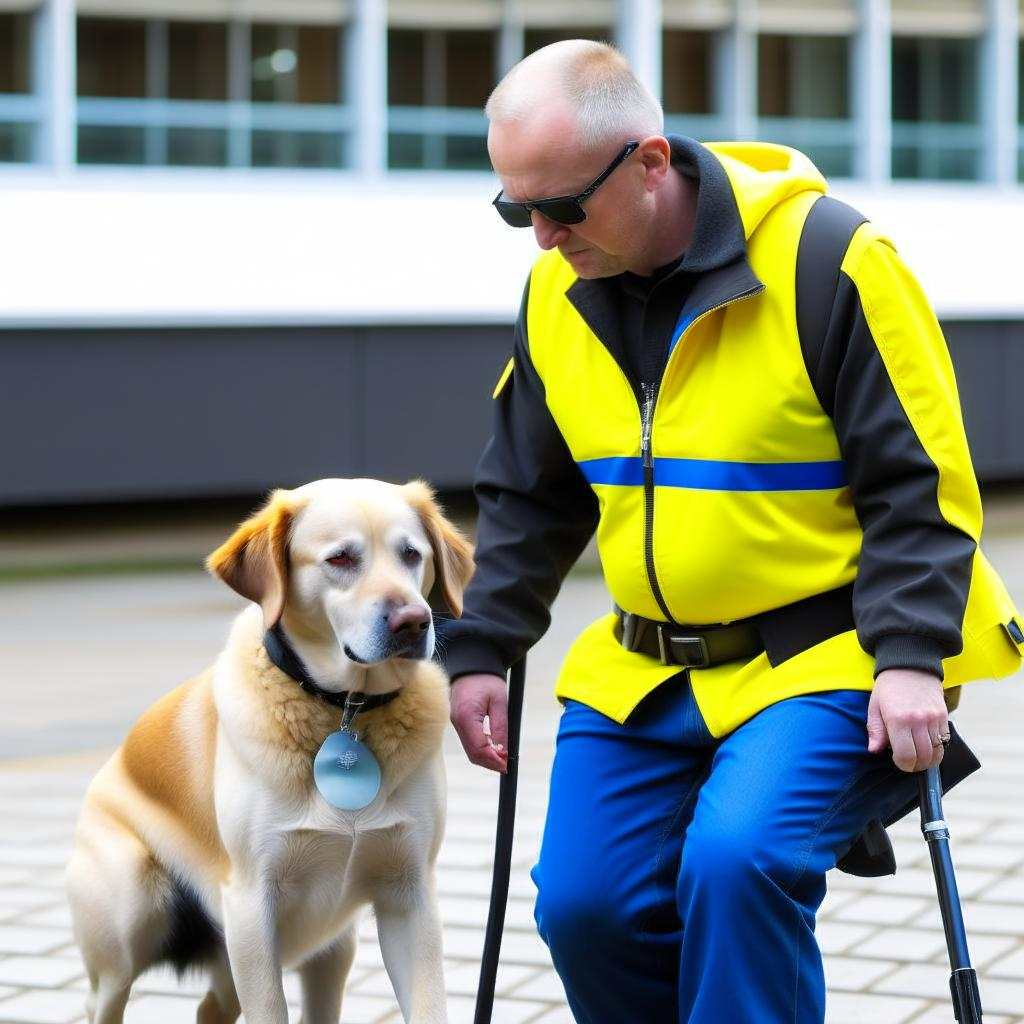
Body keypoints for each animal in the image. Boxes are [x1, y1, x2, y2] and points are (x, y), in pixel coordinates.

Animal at [66, 479, 473, 1024]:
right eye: (340, 558)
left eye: (412, 554)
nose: (413, 620)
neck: (347, 709)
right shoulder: (251, 906)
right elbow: (269, 1010)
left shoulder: (410, 896)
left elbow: (428, 1005)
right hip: (130, 917)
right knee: (103, 999)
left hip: (330, 953)